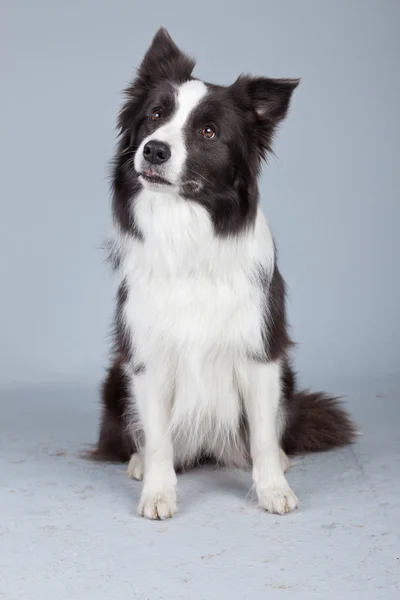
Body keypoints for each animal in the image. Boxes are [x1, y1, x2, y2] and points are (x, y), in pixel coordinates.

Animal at [91, 28, 356, 516]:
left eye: (208, 131)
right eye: (156, 114)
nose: (154, 149)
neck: (187, 230)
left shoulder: (259, 352)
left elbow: (264, 437)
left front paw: (273, 490)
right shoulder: (148, 356)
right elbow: (158, 439)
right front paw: (158, 492)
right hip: (117, 377)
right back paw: (137, 462)